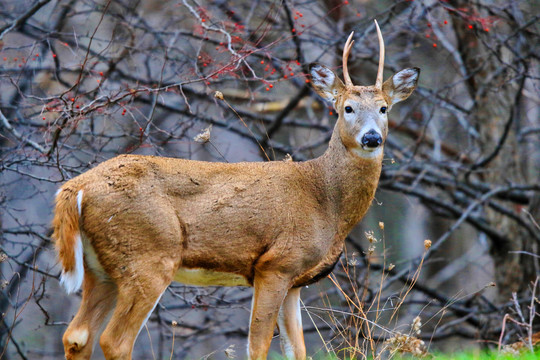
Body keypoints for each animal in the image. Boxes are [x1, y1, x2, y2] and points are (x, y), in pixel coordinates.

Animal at [52, 20, 420, 360]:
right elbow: (257, 347)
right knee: (114, 340)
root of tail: (75, 188)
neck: (324, 199)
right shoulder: (276, 263)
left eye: (384, 108)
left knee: (77, 336)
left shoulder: (295, 281)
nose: (372, 138)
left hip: (101, 269)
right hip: (148, 255)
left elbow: (296, 351)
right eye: (347, 108)